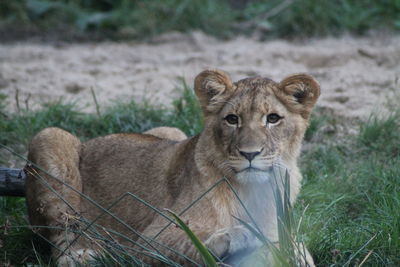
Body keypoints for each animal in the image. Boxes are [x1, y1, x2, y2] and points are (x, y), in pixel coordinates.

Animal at [25, 70, 320, 266]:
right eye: (232, 119)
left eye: (273, 118)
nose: (250, 153)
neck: (255, 189)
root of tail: (90, 140)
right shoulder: (149, 241)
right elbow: (191, 242)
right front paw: (239, 238)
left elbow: (293, 247)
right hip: (50, 139)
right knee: (62, 232)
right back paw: (84, 254)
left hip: (171, 131)